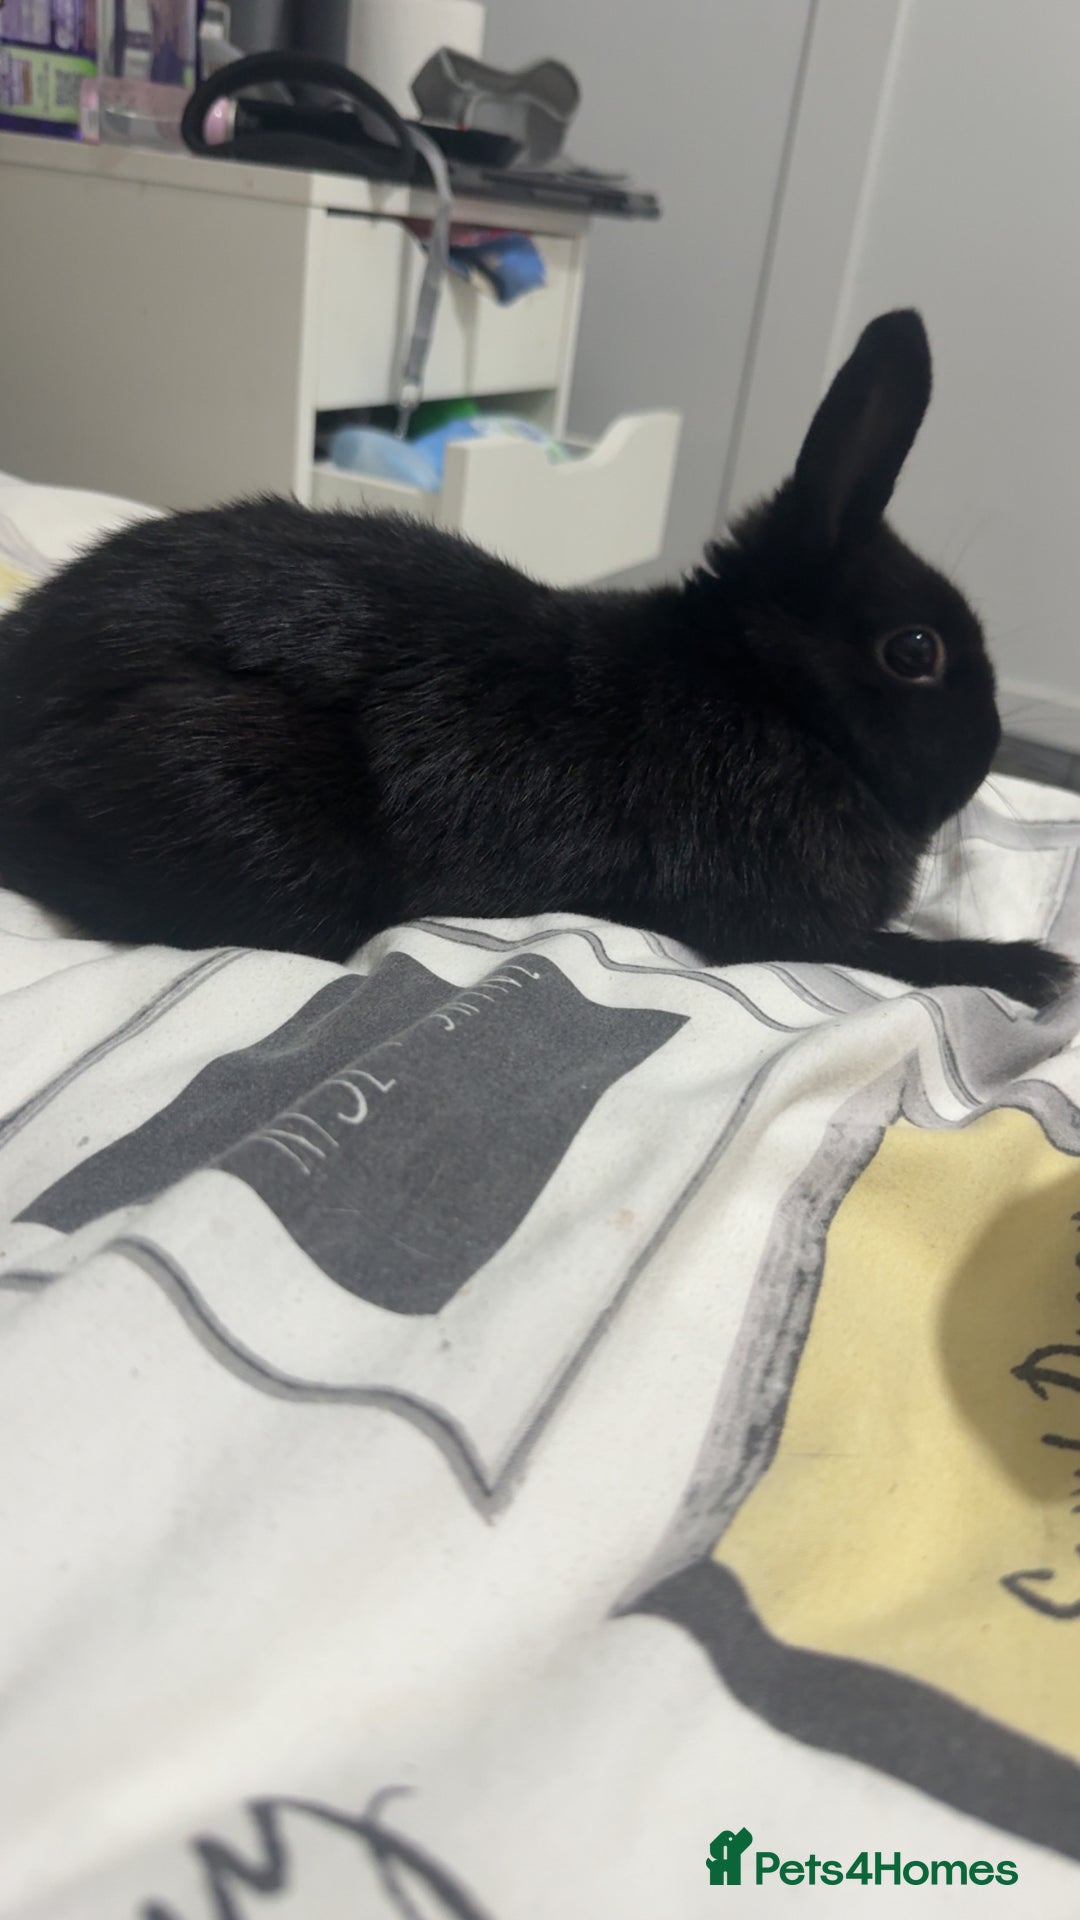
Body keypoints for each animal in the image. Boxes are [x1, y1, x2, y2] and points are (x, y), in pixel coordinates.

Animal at [0, 309, 1071, 1008]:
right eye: (916, 651)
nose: (984, 753)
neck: (770, 693)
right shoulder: (785, 928)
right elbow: (891, 953)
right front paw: (1032, 969)